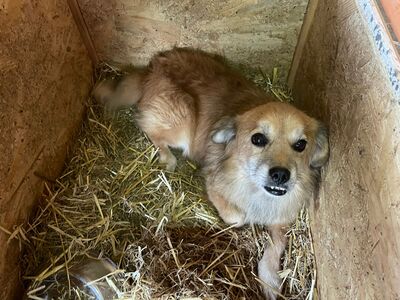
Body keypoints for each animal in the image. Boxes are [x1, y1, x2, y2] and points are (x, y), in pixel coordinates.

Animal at [94, 48, 328, 298]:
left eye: (301, 145)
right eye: (258, 139)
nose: (281, 175)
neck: (255, 189)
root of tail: (153, 66)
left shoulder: (281, 218)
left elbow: (277, 245)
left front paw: (271, 280)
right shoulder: (213, 184)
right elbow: (237, 217)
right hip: (182, 118)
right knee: (149, 128)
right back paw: (168, 158)